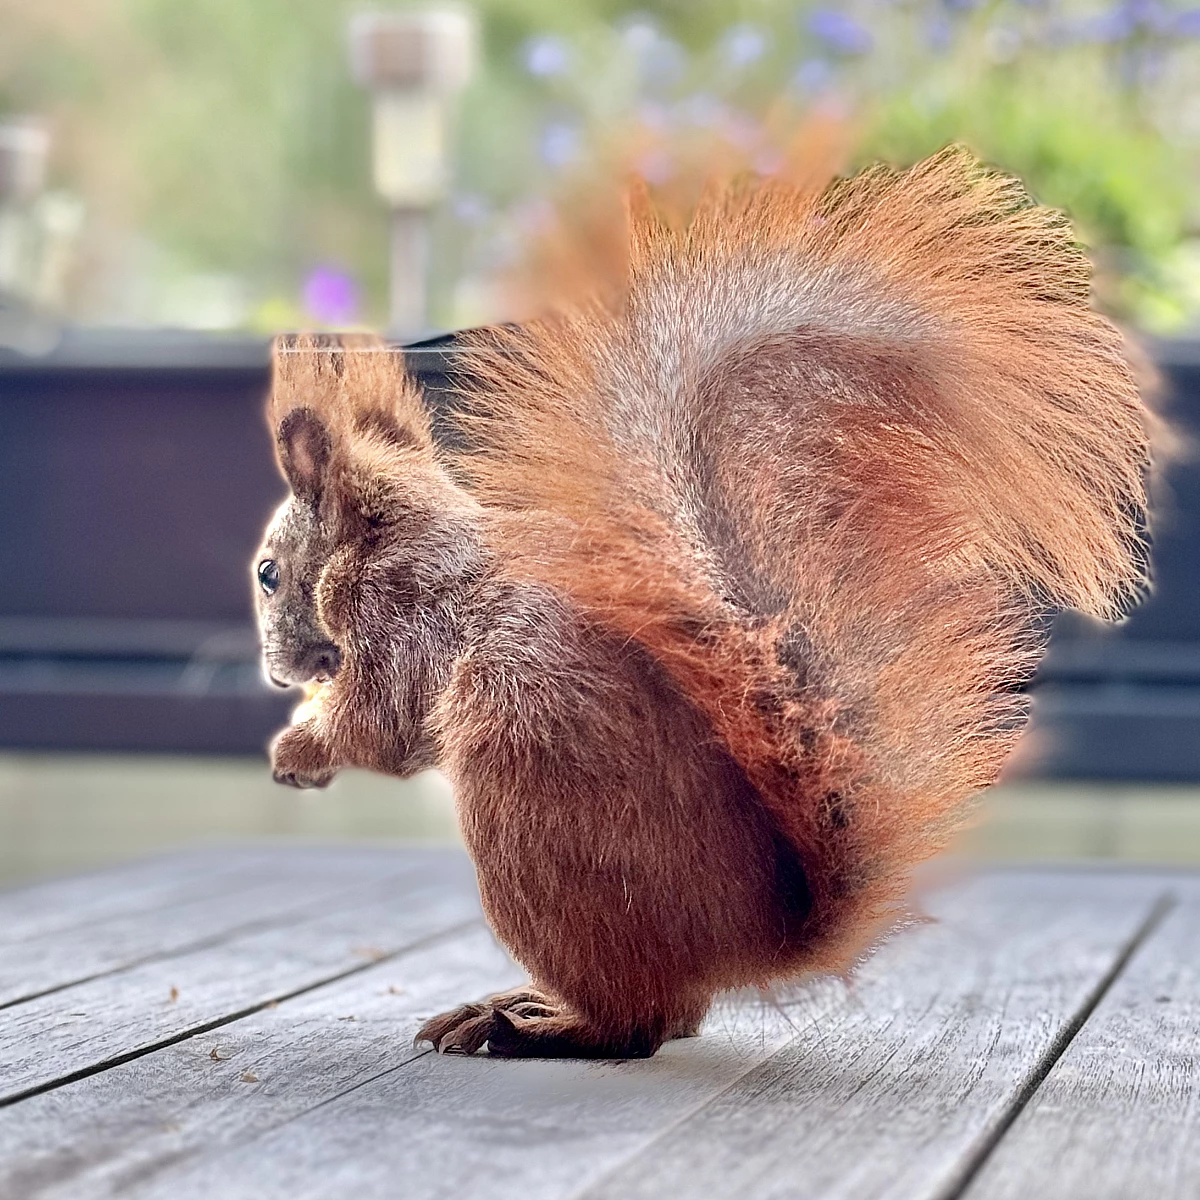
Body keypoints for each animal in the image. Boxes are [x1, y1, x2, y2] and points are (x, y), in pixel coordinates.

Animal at [253, 147, 1152, 1060]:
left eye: (268, 574)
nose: (278, 669)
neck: (394, 533)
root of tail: (752, 942)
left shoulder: (404, 616)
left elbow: (382, 726)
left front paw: (298, 747)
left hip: (530, 816)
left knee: (640, 1023)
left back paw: (526, 1024)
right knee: (671, 1017)